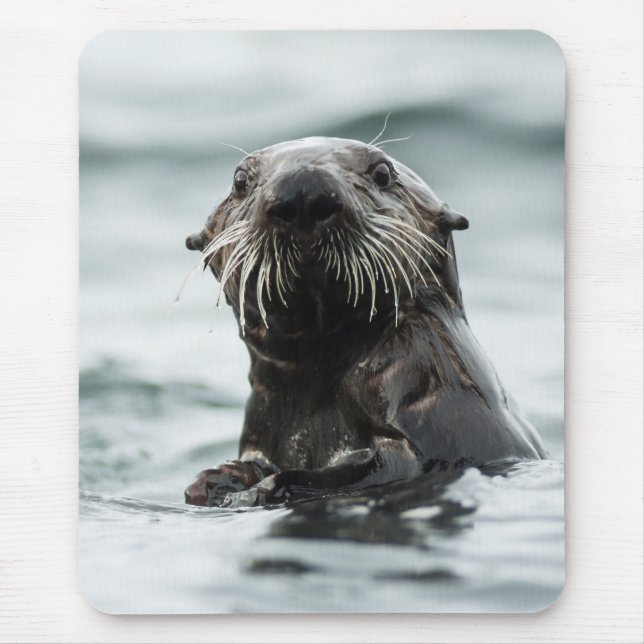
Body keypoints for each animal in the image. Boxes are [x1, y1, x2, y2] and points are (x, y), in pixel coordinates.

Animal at [182, 136, 546, 507]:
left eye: (382, 173)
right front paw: (216, 480)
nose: (303, 191)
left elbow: (389, 465)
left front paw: (263, 488)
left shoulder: (425, 374)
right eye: (240, 181)